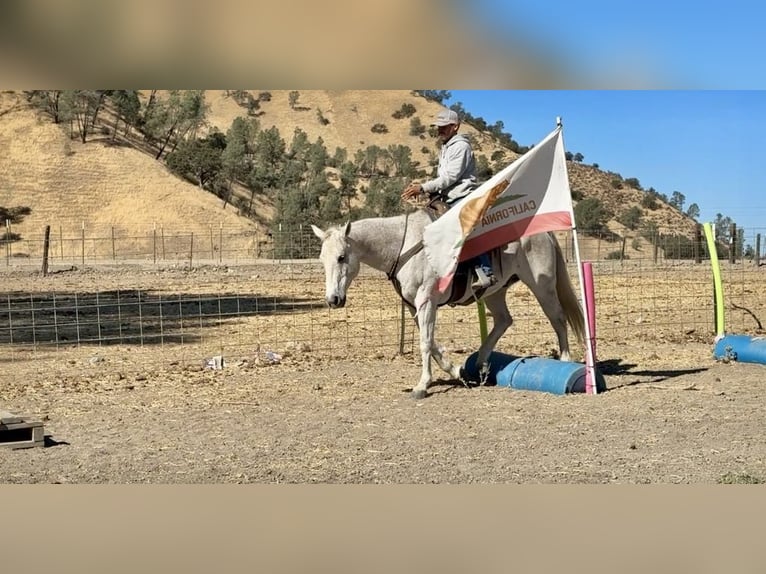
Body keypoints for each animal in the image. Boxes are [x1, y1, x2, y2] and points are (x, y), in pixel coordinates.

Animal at [316, 209, 584, 402]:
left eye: (341, 257)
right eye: (321, 259)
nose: (333, 300)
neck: (404, 246)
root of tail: (544, 232)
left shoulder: (426, 300)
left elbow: (425, 343)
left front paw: (422, 385)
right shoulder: (415, 306)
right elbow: (430, 341)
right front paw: (456, 371)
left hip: (542, 286)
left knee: (558, 319)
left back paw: (564, 360)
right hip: (495, 293)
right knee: (504, 320)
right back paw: (480, 364)